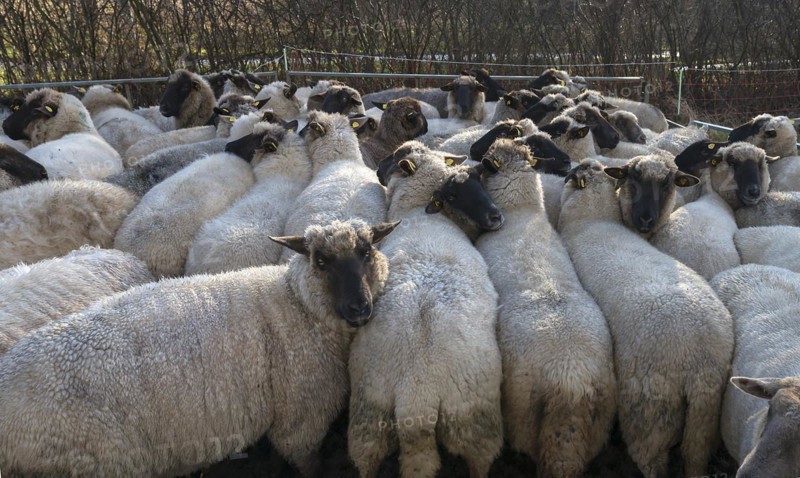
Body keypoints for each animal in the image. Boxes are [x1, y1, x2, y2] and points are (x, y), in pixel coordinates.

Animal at [348, 145, 503, 478]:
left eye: (395, 157)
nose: (376, 168)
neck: (420, 212)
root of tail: (416, 398)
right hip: (474, 421)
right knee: (481, 461)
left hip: (369, 420)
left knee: (368, 460)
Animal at [558, 159, 733, 478]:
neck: (593, 220)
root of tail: (701, 361)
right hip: (705, 414)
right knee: (695, 455)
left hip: (650, 410)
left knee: (652, 459)